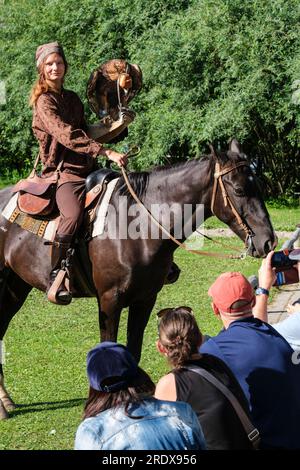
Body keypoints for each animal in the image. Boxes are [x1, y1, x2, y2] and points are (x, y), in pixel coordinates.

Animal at [0, 140, 276, 412]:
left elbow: (133, 350)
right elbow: (107, 347)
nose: (268, 241)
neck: (138, 224)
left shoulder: (145, 299)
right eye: (239, 190)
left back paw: (6, 401)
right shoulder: (109, 300)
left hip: (16, 287)